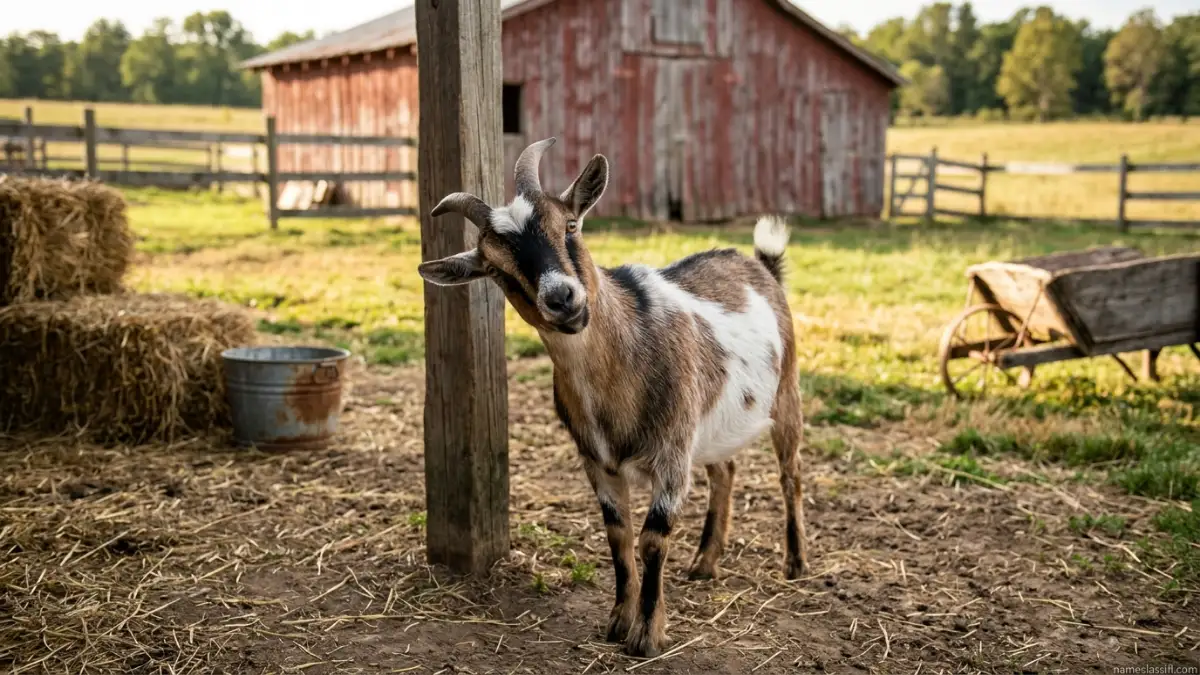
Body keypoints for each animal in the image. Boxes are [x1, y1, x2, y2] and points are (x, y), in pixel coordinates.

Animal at [418, 138, 807, 658]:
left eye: (570, 225)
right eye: (497, 270)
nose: (562, 299)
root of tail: (760, 265)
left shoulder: (670, 456)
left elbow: (652, 540)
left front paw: (647, 634)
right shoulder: (598, 462)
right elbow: (618, 538)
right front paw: (619, 620)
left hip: (786, 395)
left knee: (790, 475)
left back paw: (796, 563)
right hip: (712, 426)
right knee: (725, 470)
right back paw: (705, 562)